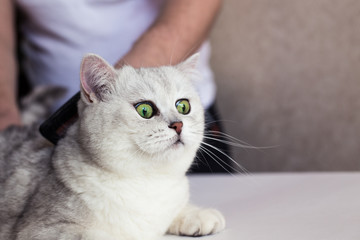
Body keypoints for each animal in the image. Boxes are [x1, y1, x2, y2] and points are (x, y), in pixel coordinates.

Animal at [0, 53, 225, 239]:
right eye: (145, 110)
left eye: (183, 106)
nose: (178, 125)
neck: (148, 182)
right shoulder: (43, 229)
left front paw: (196, 214)